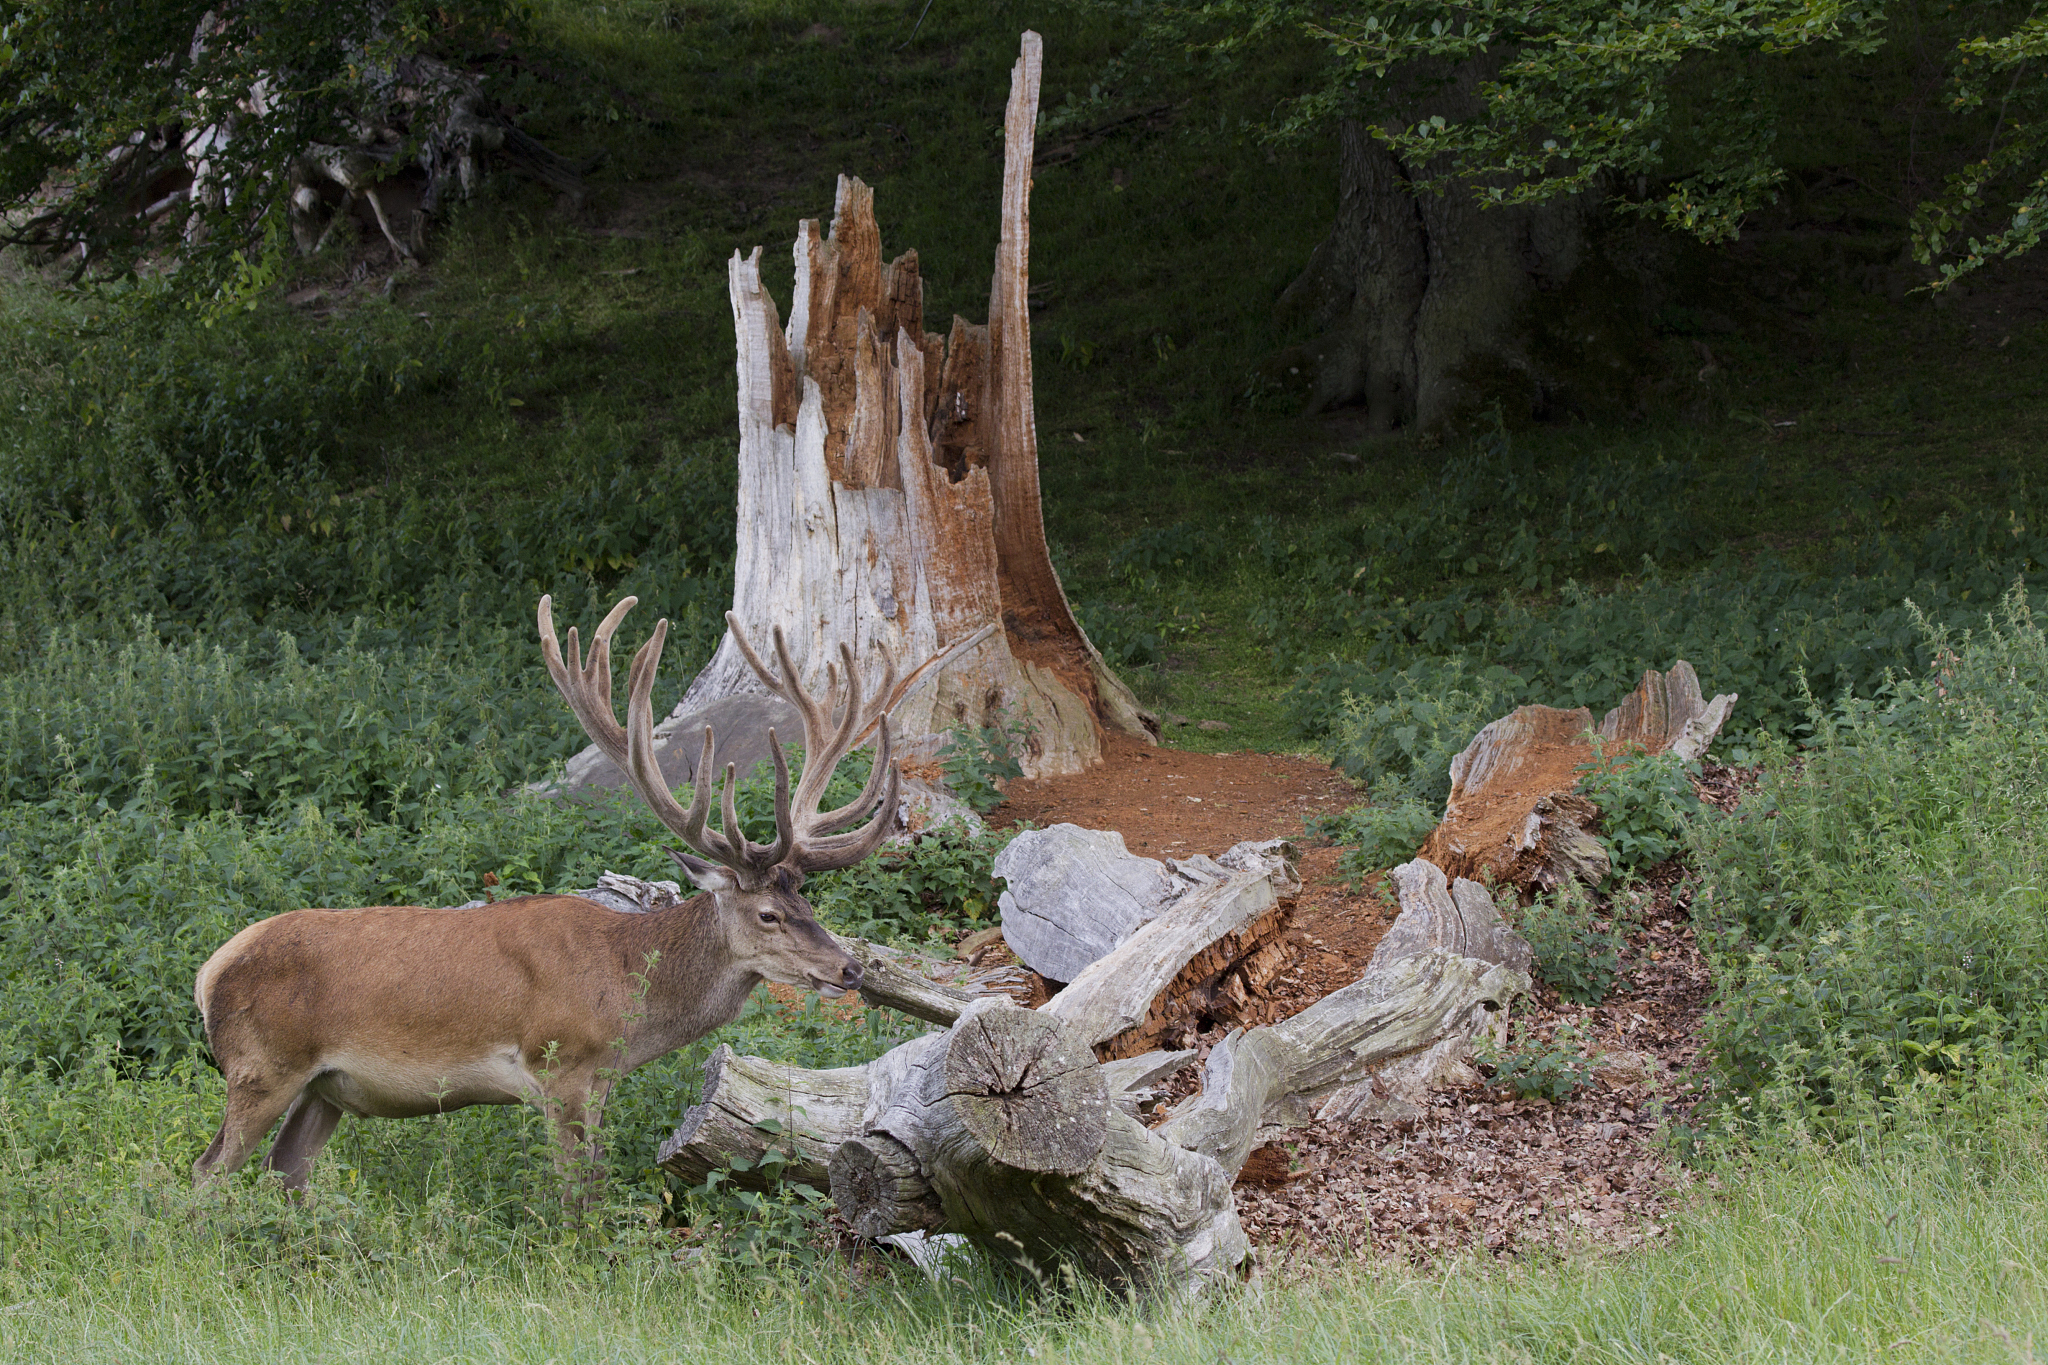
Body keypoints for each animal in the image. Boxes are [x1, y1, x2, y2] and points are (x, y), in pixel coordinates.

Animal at [192, 598, 930, 1195]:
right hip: (261, 1065)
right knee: (208, 1169)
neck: (625, 991)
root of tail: (208, 970)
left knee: (285, 1168)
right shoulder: (561, 1064)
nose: (849, 969)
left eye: (809, 901)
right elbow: (581, 1194)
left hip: (326, 1088)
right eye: (769, 914)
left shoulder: (599, 1078)